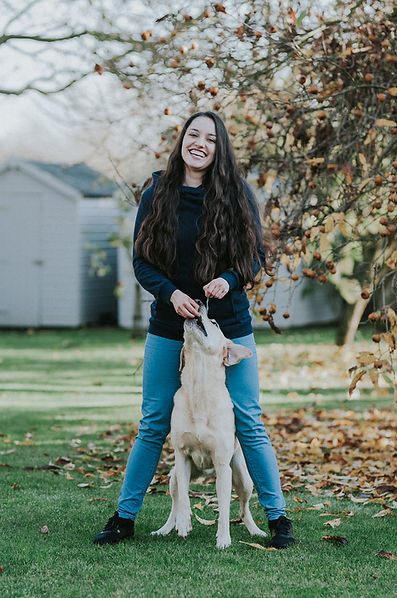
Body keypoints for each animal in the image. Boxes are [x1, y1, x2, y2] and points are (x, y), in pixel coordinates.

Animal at [152, 302, 266, 552]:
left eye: (214, 322)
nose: (198, 301)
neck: (199, 387)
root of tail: (204, 471)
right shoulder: (182, 457)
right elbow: (184, 499)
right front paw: (183, 524)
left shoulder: (223, 466)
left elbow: (224, 509)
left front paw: (223, 539)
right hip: (173, 477)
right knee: (175, 502)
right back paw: (166, 528)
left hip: (243, 477)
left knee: (244, 508)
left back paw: (255, 530)